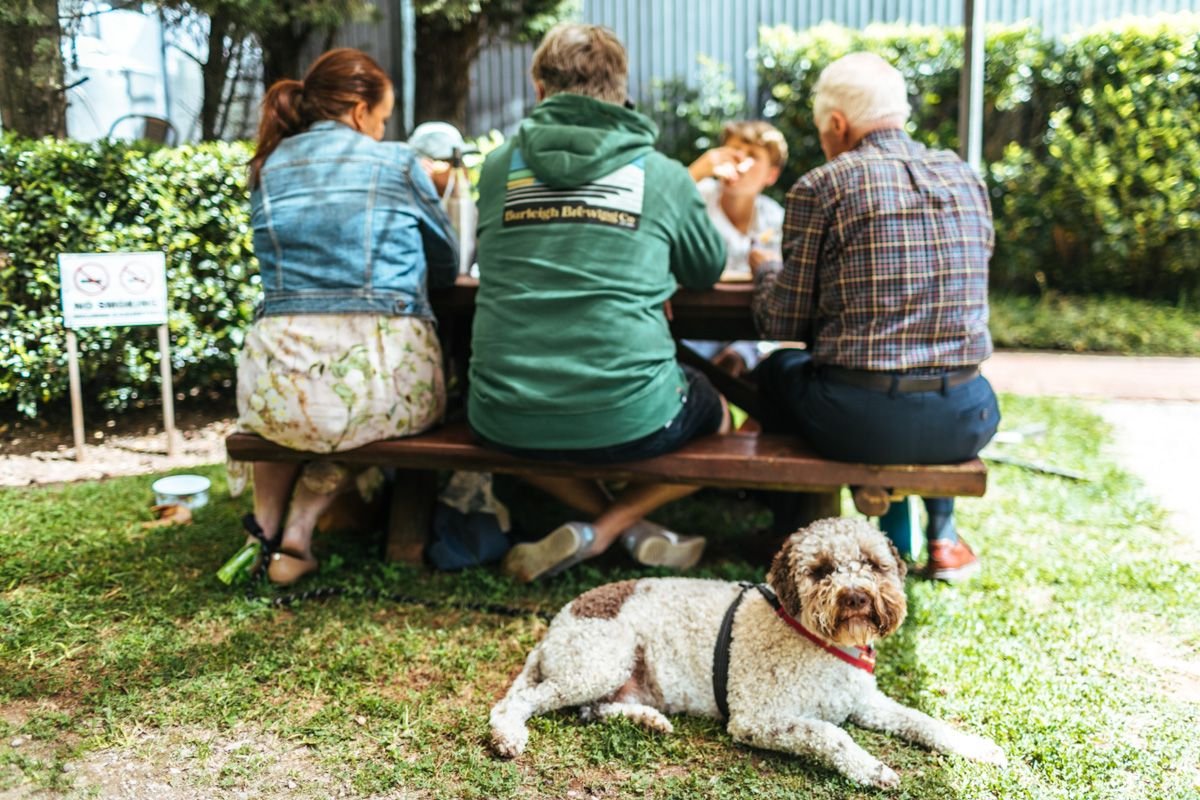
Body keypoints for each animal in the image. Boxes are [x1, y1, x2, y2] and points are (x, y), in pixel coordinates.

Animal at [492, 520, 1008, 786]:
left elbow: (923, 721)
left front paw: (974, 746)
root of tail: (560, 619)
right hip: (597, 664)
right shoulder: (757, 719)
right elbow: (830, 734)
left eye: (873, 564)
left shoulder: (865, 703)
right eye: (822, 570)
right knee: (518, 703)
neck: (816, 642)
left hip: (614, 676)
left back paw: (649, 720)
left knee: (592, 710)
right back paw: (508, 737)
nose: (857, 597)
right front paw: (871, 767)